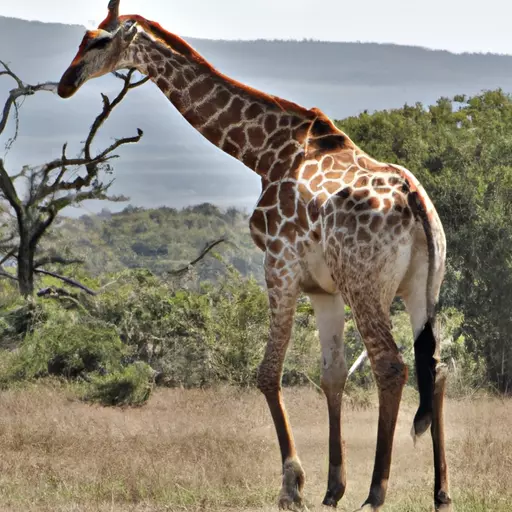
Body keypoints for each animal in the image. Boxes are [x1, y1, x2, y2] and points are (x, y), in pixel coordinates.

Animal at [58, 2, 452, 510]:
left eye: (101, 41)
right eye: (81, 37)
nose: (66, 83)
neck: (264, 151)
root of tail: (415, 200)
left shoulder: (279, 265)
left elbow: (267, 374)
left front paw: (292, 486)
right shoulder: (322, 289)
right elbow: (331, 375)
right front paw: (331, 489)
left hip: (366, 286)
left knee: (391, 365)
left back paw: (376, 492)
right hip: (422, 288)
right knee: (435, 368)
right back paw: (441, 491)